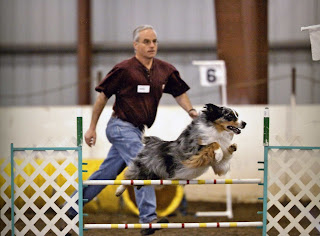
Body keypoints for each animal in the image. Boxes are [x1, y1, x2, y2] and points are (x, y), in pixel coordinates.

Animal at [115, 104, 248, 196]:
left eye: (237, 115)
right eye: (230, 116)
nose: (245, 123)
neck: (216, 130)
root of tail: (150, 142)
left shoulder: (218, 166)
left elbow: (224, 161)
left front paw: (232, 147)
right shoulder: (194, 152)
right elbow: (213, 144)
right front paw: (219, 153)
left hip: (153, 177)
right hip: (143, 168)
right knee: (129, 177)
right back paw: (118, 191)